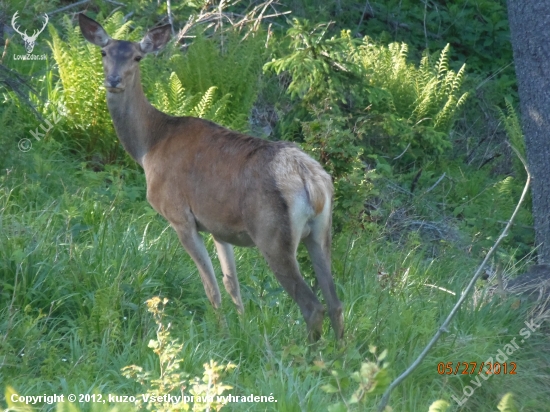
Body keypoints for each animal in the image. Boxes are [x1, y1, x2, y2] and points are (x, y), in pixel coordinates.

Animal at [77, 13, 344, 342]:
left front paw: (221, 334)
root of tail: (312, 182)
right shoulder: (219, 226)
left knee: (313, 306)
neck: (149, 145)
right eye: (104, 52)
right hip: (321, 231)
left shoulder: (179, 215)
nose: (113, 80)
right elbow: (232, 284)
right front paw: (242, 330)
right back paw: (342, 351)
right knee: (336, 303)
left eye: (137, 57)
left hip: (273, 234)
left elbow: (211, 286)